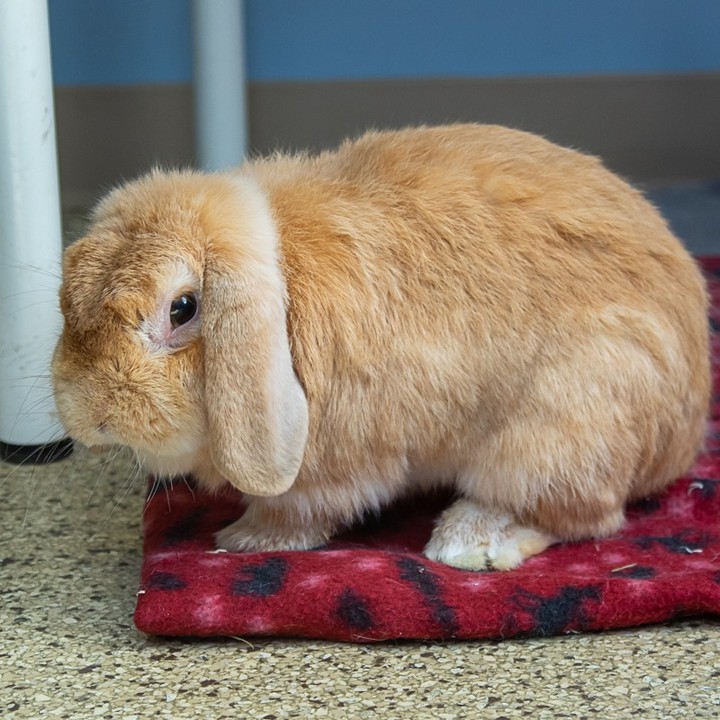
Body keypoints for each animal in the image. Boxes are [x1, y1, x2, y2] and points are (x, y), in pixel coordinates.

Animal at [53, 125, 712, 572]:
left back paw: (467, 543)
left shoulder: (335, 463)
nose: (90, 414)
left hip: (564, 422)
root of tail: (681, 436)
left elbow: (302, 510)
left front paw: (245, 541)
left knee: (579, 514)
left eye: (182, 309)